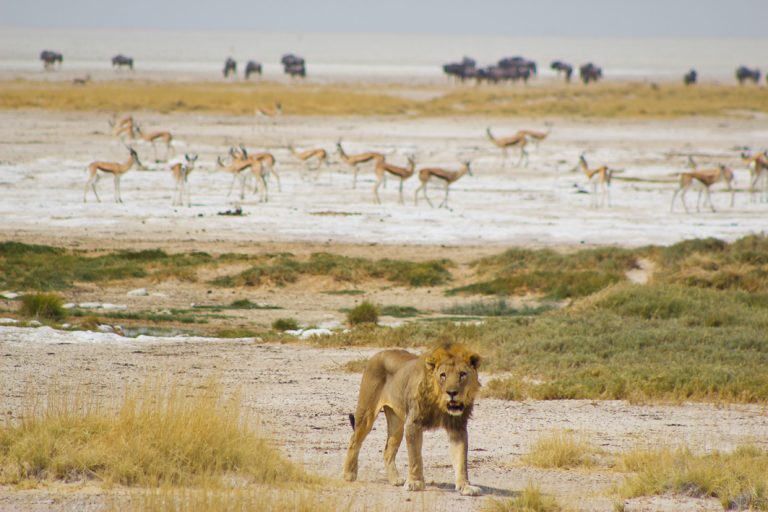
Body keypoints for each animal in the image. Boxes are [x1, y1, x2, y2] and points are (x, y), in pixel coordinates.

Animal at [342, 344, 480, 496]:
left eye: (462, 374)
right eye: (443, 375)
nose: (452, 392)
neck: (440, 404)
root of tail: (378, 354)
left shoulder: (458, 427)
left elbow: (461, 459)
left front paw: (465, 486)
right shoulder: (413, 423)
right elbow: (415, 456)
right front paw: (415, 483)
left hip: (396, 424)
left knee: (388, 450)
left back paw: (395, 479)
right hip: (367, 413)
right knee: (354, 440)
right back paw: (349, 474)